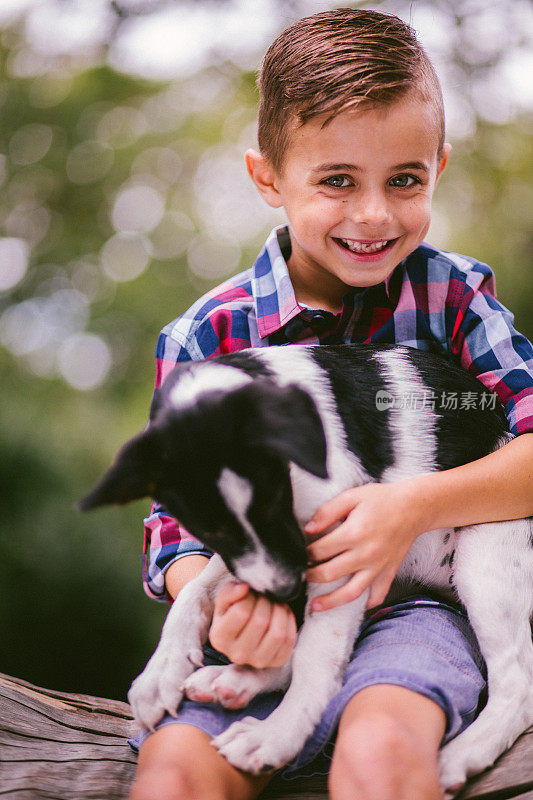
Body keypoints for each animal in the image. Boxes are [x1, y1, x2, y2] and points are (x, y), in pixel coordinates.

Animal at [80, 344, 532, 788]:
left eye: (273, 501)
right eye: (210, 529)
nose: (286, 590)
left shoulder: (344, 544)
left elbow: (316, 654)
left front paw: (278, 735)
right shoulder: (268, 555)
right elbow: (197, 589)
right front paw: (161, 671)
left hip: (485, 553)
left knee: (517, 685)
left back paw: (462, 754)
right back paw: (232, 681)